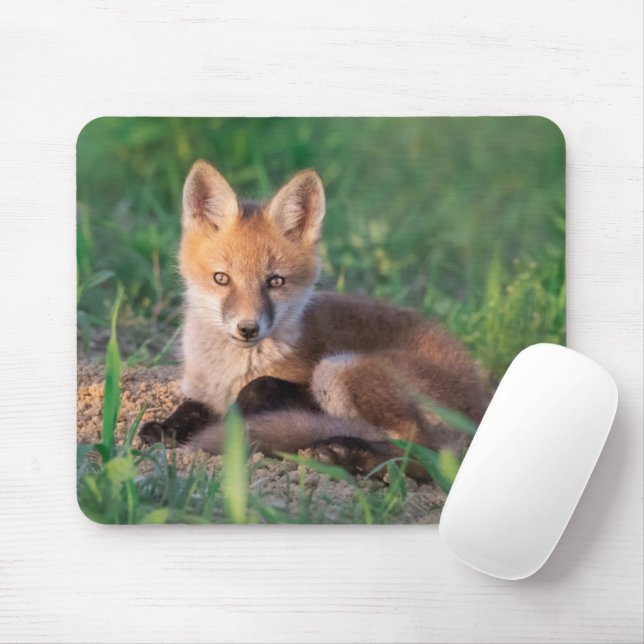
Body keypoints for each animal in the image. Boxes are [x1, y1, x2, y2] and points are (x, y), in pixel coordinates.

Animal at [139, 160, 491, 479]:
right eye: (221, 279)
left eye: (275, 281)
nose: (248, 328)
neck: (229, 371)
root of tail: (482, 399)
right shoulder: (201, 391)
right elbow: (190, 407)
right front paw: (165, 428)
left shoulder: (300, 386)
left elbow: (259, 386)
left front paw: (234, 423)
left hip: (338, 368)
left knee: (426, 456)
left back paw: (351, 454)